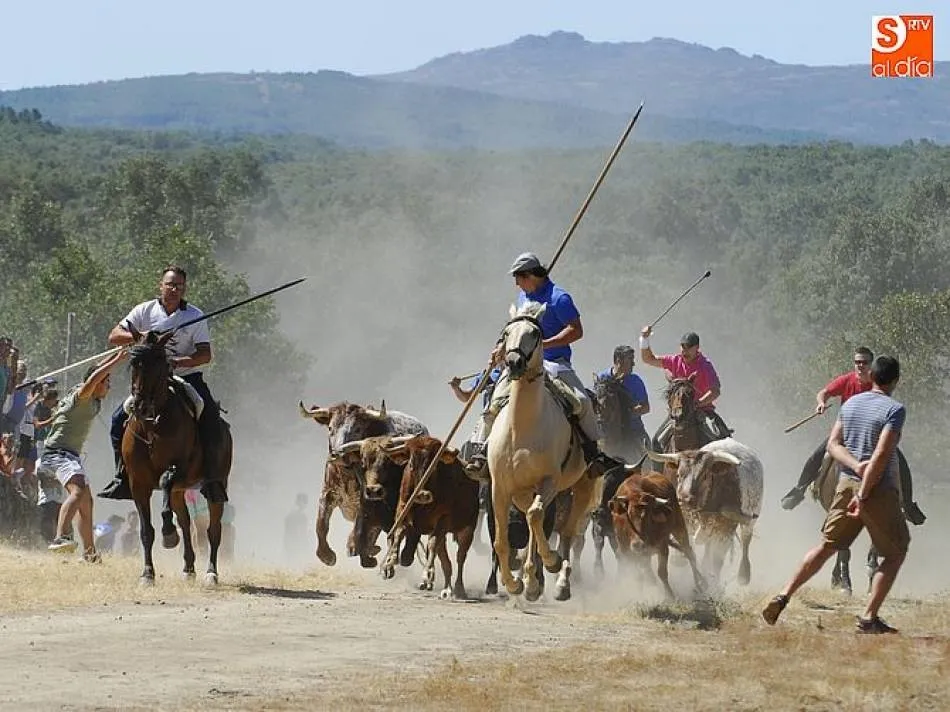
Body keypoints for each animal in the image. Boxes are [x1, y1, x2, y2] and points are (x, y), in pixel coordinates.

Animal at [123, 330, 233, 585]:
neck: (152, 425)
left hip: (216, 484)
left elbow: (165, 481)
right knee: (185, 522)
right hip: (179, 491)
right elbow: (146, 531)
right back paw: (188, 568)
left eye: (159, 362)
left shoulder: (178, 469)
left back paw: (211, 573)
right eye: (133, 363)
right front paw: (147, 573)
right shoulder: (137, 484)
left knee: (213, 530)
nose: (141, 407)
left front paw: (168, 535)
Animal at [486, 301, 596, 602]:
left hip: (579, 488)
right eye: (506, 333)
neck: (522, 429)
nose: (513, 362)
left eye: (536, 333)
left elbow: (536, 518)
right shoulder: (500, 488)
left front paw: (551, 562)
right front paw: (514, 584)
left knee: (566, 533)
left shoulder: (548, 482)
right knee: (533, 525)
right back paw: (531, 582)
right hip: (524, 493)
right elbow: (501, 541)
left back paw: (559, 581)